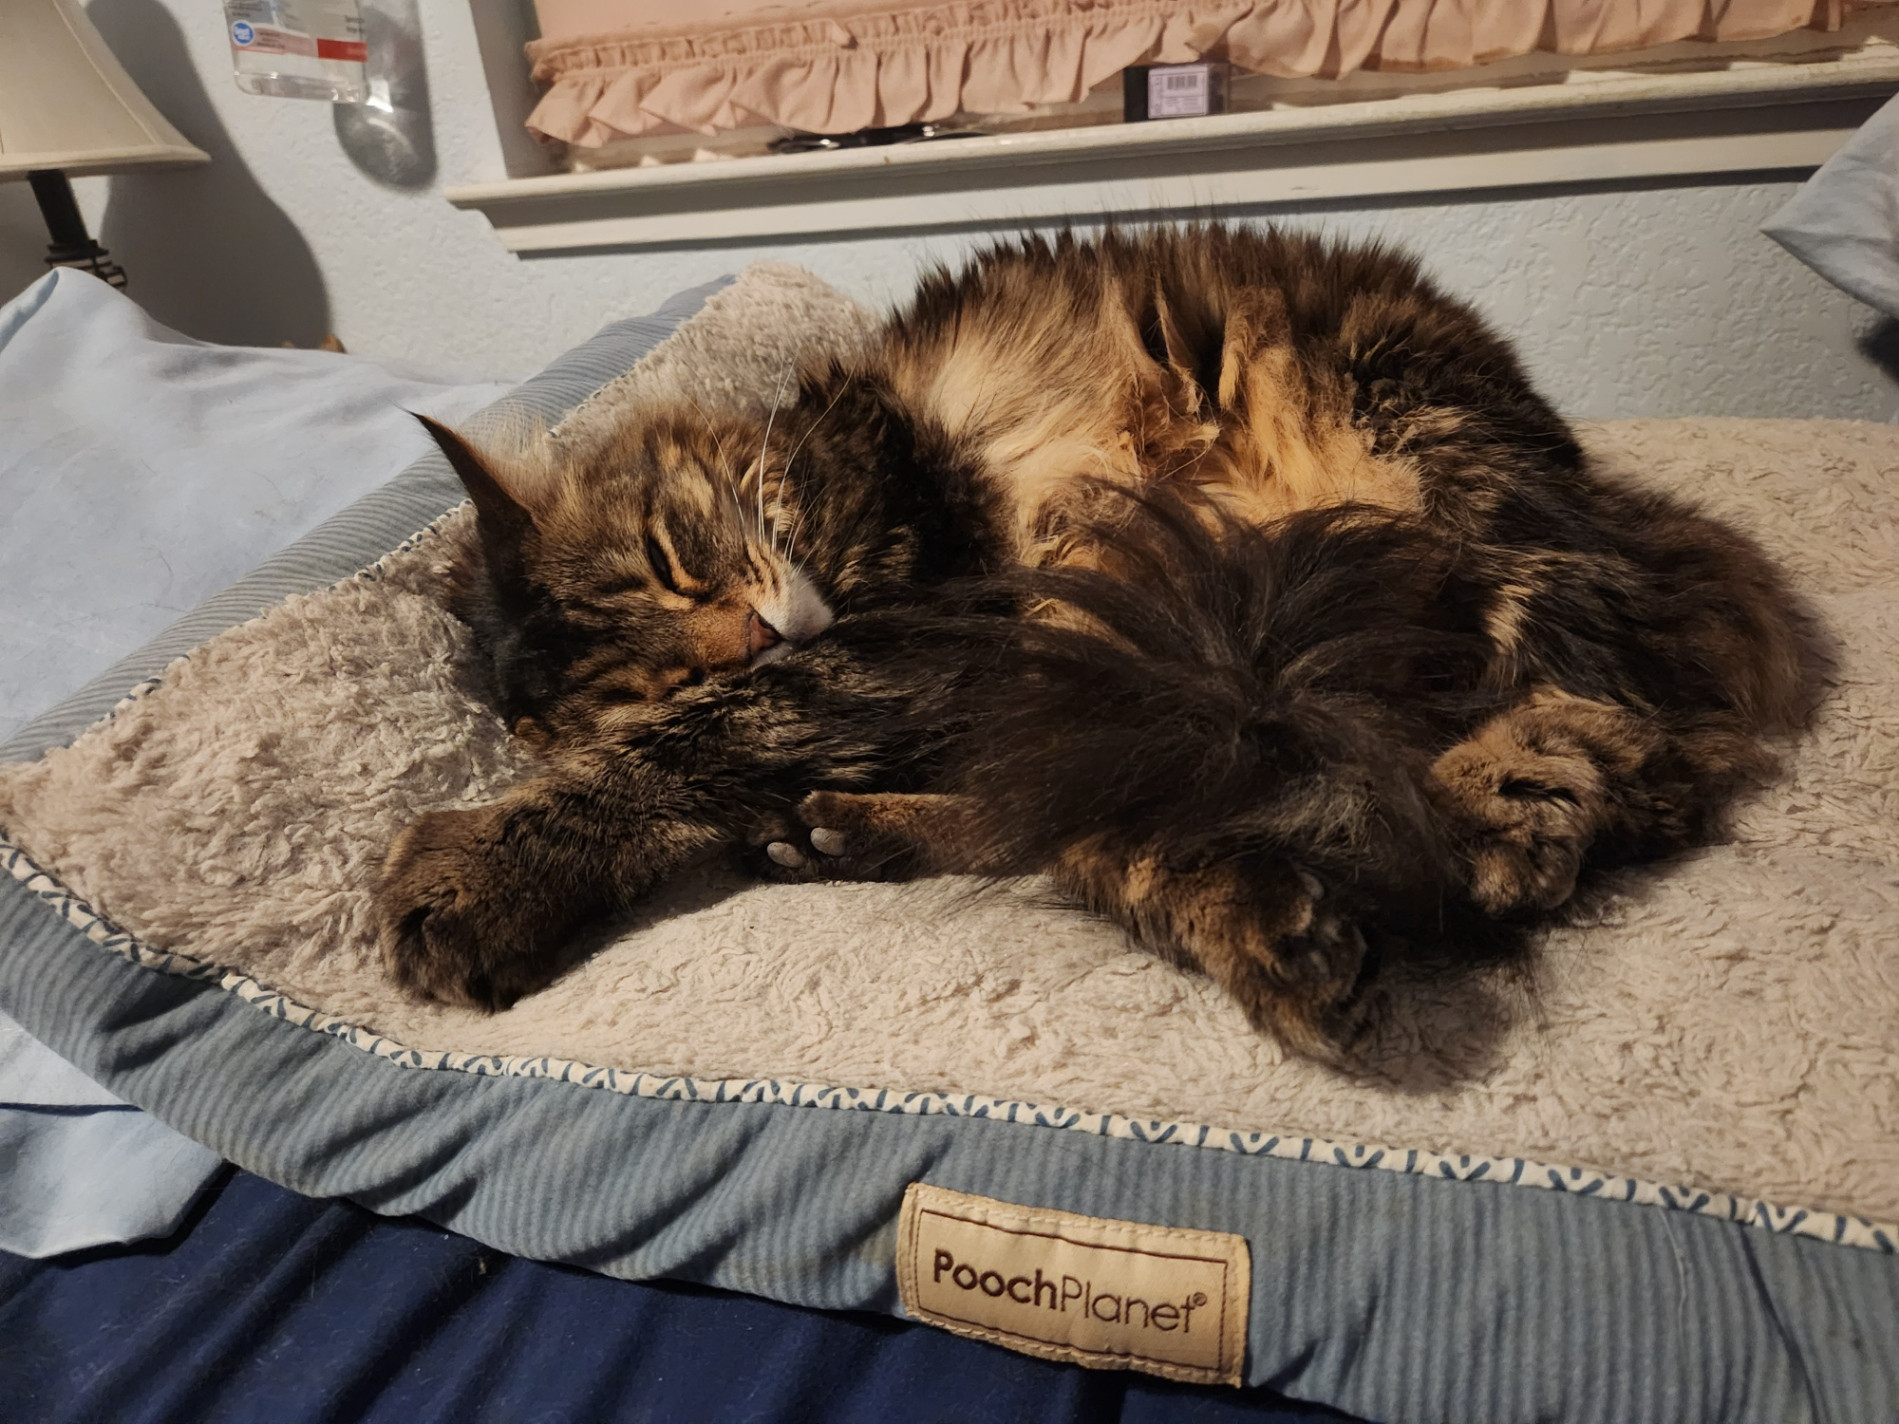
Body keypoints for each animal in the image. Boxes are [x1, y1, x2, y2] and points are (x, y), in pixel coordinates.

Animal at [377, 225, 1815, 1063]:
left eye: (677, 559)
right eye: (683, 648)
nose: (758, 627)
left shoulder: (919, 627)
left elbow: (686, 748)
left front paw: (475, 869)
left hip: (1437, 482)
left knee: (1634, 734)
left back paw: (1487, 817)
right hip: (1134, 629)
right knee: (1097, 816)